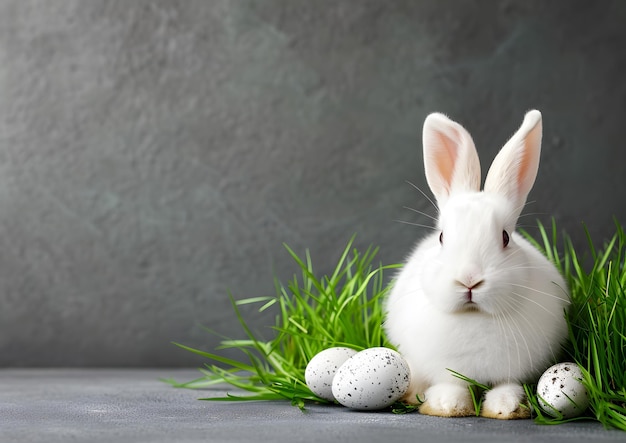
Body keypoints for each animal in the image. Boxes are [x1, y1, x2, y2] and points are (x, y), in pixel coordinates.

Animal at [382, 110, 568, 420]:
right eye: (442, 237)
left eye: (505, 237)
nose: (469, 280)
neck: (474, 316)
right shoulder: (445, 369)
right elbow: (451, 385)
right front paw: (447, 406)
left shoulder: (513, 369)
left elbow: (507, 384)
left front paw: (506, 407)